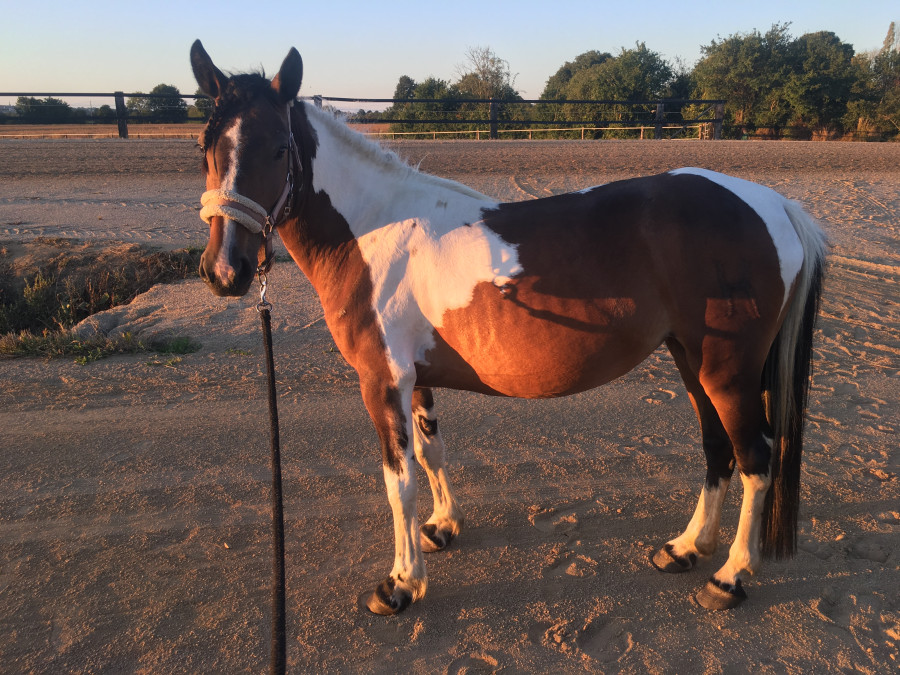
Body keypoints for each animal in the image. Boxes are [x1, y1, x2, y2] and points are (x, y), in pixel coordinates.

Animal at [189, 40, 827, 616]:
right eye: (205, 148)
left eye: (279, 149)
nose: (225, 271)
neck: (372, 231)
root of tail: (773, 204)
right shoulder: (416, 380)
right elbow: (431, 452)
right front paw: (442, 528)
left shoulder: (382, 382)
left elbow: (399, 482)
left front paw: (401, 584)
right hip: (692, 361)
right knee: (718, 448)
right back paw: (687, 548)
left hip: (727, 373)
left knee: (757, 458)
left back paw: (729, 577)